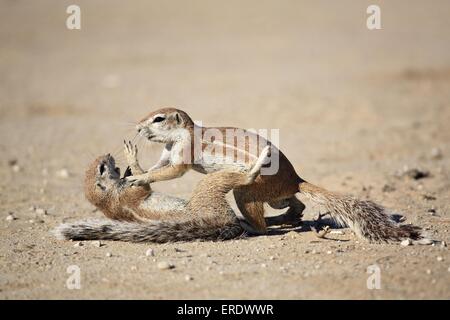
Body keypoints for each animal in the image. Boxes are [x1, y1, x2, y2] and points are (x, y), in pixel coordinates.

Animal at [125, 107, 422, 242]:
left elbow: (171, 173)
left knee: (262, 225)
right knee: (296, 205)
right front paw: (134, 166)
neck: (178, 137)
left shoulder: (182, 155)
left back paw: (252, 225)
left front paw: (139, 178)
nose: (137, 127)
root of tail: (296, 179)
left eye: (158, 119)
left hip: (248, 191)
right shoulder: (167, 154)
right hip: (276, 197)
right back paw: (284, 218)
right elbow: (156, 168)